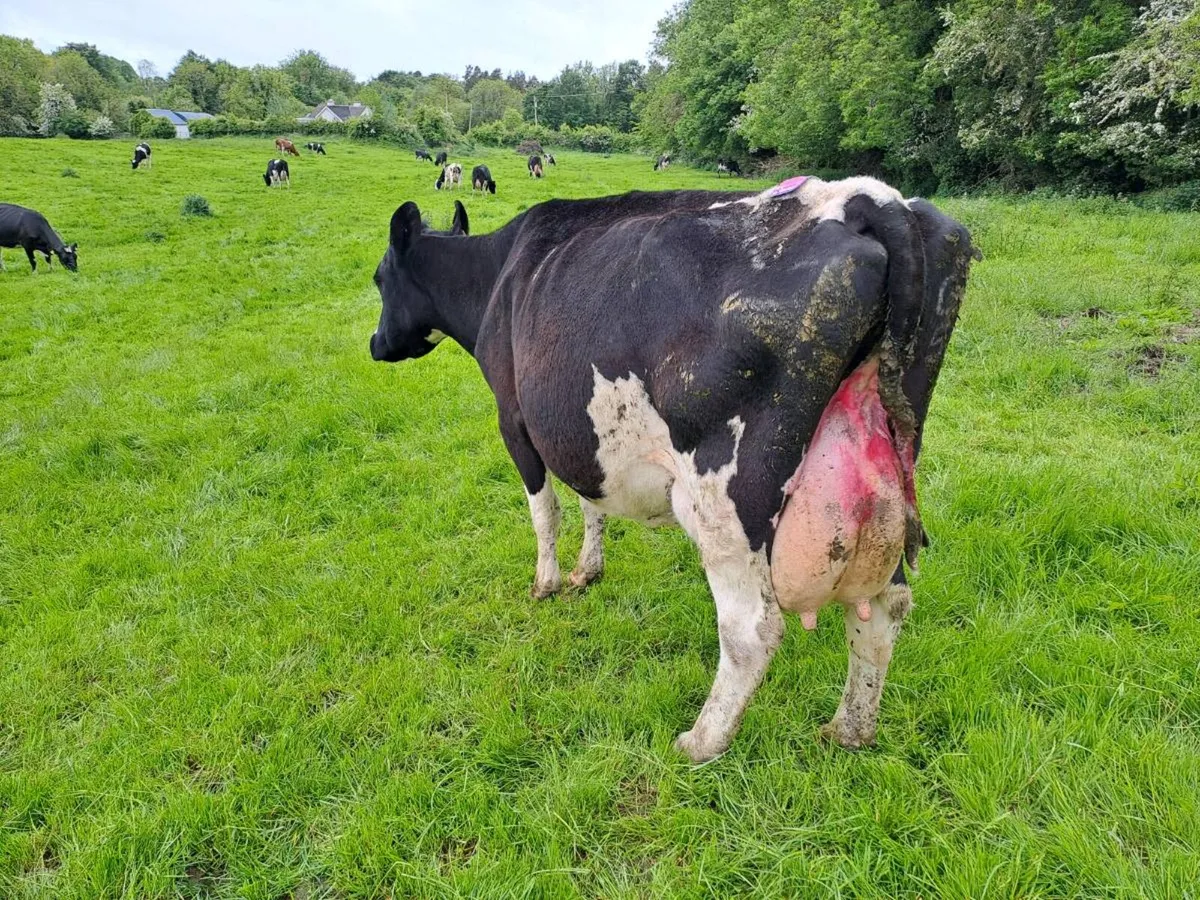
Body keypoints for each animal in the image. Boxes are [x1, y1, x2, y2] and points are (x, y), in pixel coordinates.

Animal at [368, 176, 978, 762]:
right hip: (883, 483)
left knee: (752, 629)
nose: (375, 344)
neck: (498, 275)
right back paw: (850, 729)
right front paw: (587, 571)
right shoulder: (577, 430)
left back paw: (702, 741)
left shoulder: (515, 420)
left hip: (724, 499)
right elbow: (591, 500)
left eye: (378, 279)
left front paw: (545, 584)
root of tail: (872, 198)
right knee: (884, 607)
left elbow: (547, 511)